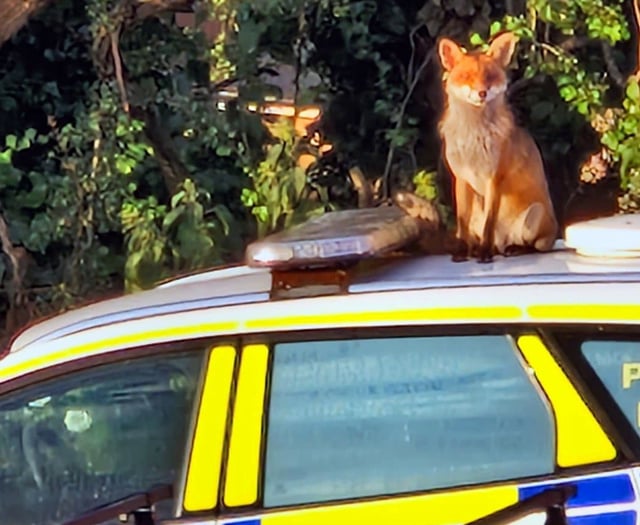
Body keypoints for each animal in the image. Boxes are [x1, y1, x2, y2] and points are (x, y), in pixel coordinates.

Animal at [438, 29, 556, 262]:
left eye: (489, 77)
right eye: (467, 77)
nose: (482, 93)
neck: (473, 138)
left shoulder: (494, 178)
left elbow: (489, 224)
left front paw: (484, 253)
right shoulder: (462, 178)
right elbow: (461, 224)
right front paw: (462, 251)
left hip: (535, 218)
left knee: (534, 247)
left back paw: (510, 249)